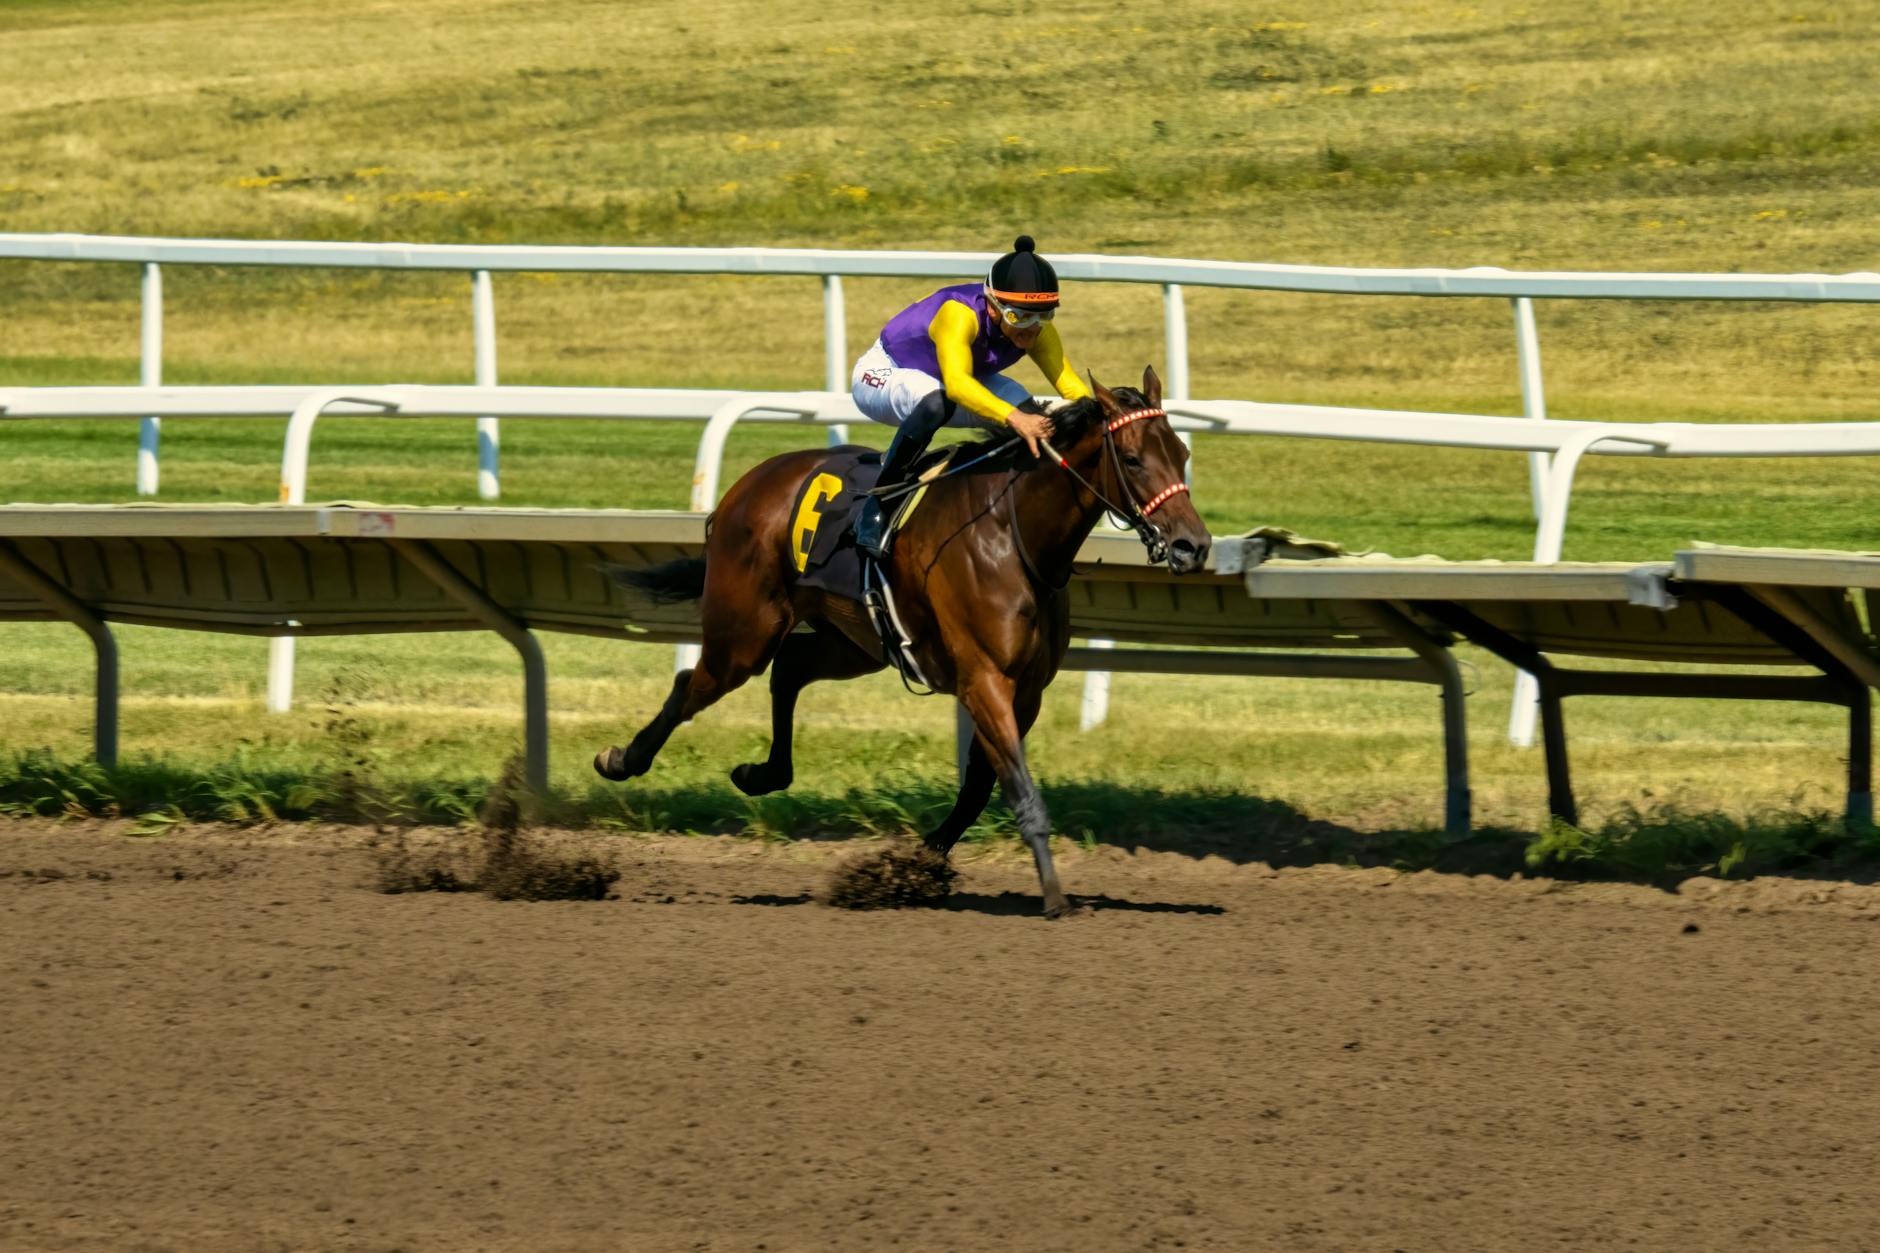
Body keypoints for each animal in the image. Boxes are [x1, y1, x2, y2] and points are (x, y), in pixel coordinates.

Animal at [594, 366, 1211, 917]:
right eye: (1132, 459)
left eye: (1182, 454)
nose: (1193, 546)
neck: (1013, 535)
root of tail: (744, 488)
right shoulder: (984, 679)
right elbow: (1018, 788)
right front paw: (1054, 897)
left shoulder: (1026, 689)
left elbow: (979, 787)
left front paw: (913, 865)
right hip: (746, 630)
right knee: (694, 684)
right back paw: (621, 759)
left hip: (854, 640)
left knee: (789, 669)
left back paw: (761, 773)